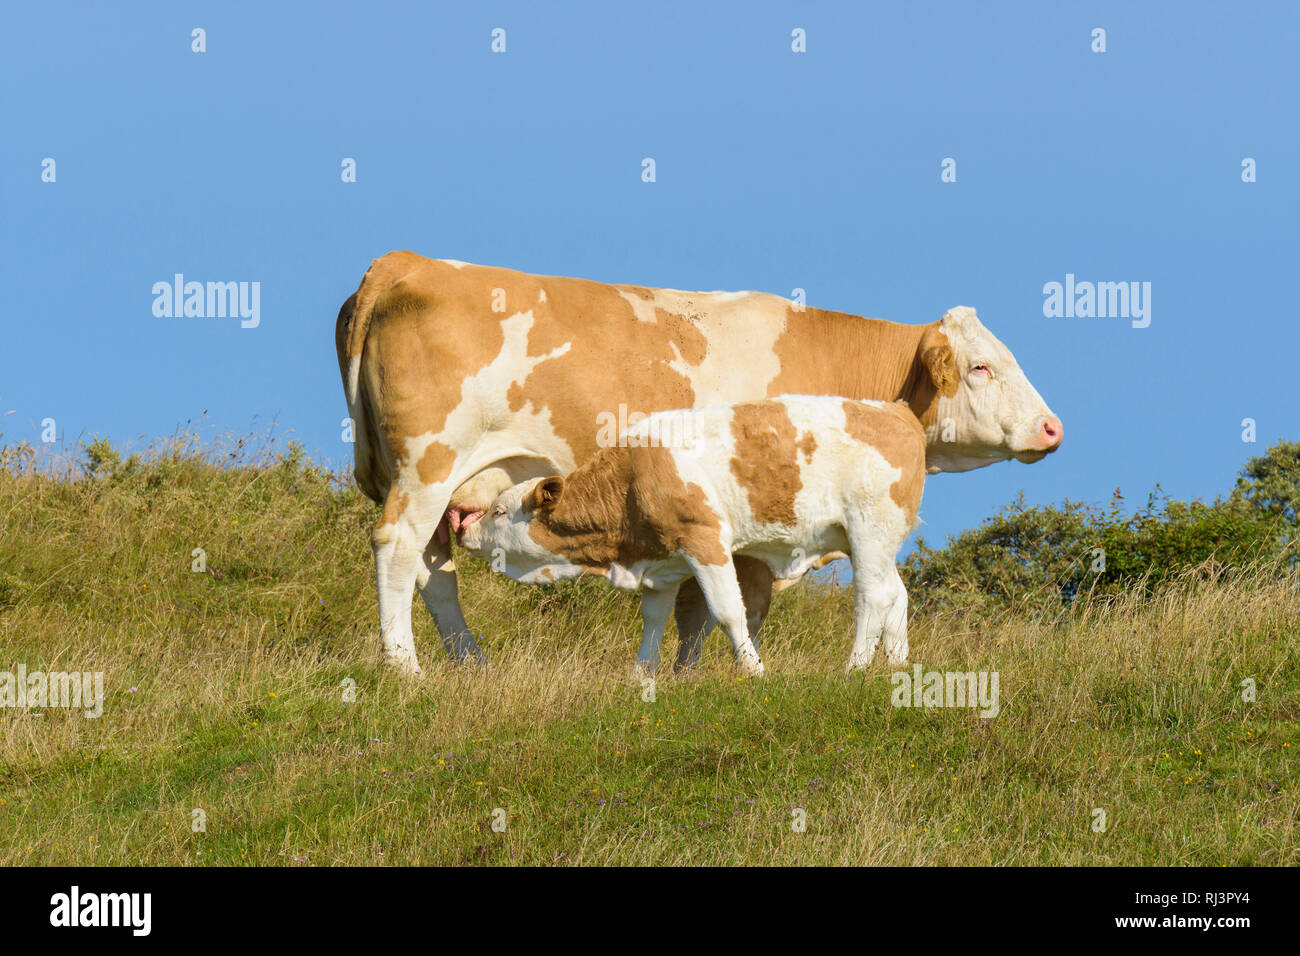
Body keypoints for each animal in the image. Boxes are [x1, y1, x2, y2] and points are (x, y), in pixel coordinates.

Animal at [462, 395, 930, 671]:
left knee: (873, 596)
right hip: (871, 541)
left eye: (499, 510)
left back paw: (854, 669)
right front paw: (641, 675)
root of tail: (895, 409)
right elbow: (654, 620)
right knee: (897, 594)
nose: (465, 529)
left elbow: (728, 612)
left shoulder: (704, 540)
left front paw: (754, 671)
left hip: (869, 529)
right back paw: (896, 666)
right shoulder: (661, 561)